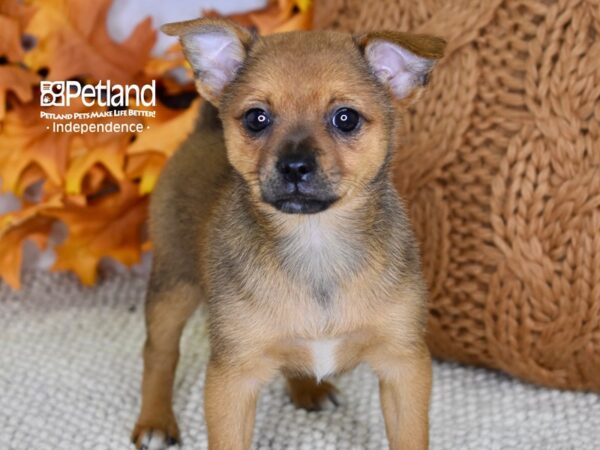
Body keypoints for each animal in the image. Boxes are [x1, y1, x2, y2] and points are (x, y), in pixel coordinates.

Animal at [132, 17, 446, 450]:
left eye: (345, 118)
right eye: (256, 118)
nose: (294, 165)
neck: (316, 242)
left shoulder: (404, 365)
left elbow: (410, 437)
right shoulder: (233, 380)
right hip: (173, 284)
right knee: (159, 353)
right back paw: (156, 420)